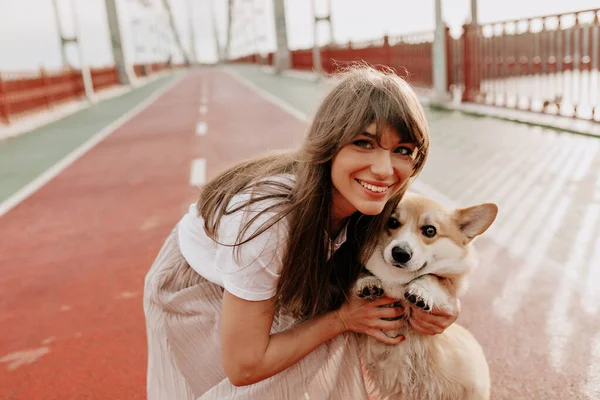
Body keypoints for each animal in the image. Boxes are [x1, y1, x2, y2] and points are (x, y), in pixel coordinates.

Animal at [354, 192, 500, 398]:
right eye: (392, 221)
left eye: (430, 231)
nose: (400, 253)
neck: (397, 280)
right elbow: (366, 272)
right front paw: (367, 282)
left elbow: (431, 276)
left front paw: (420, 291)